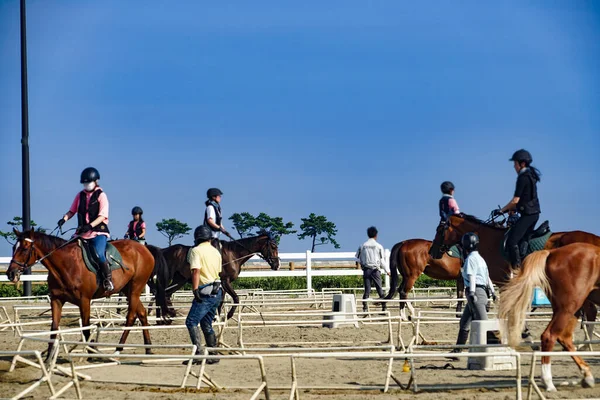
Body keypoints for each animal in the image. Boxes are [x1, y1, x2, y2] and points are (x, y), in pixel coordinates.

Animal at [6, 230, 171, 358]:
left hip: (136, 288)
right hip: (128, 289)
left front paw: (91, 352)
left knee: (131, 316)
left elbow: (85, 327)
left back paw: (119, 349)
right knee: (142, 313)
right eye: (14, 247)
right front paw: (48, 357)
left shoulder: (84, 301)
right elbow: (54, 328)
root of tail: (145, 249)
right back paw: (148, 348)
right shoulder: (56, 300)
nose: (10, 273)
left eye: (25, 249)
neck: (66, 265)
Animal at [496, 244, 600, 390]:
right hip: (569, 307)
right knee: (549, 336)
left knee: (564, 337)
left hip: (569, 310)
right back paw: (548, 382)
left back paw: (587, 375)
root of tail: (551, 252)